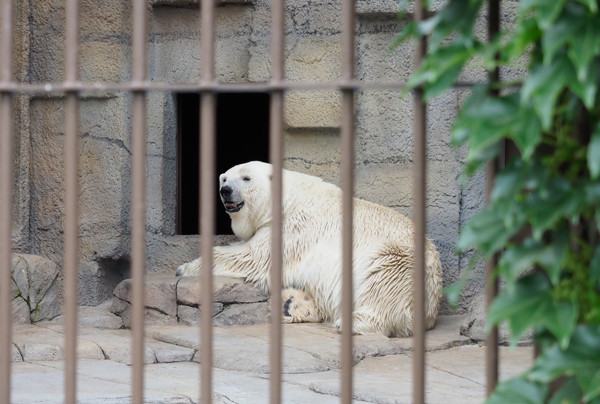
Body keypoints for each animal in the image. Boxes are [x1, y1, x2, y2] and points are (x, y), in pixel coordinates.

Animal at [176, 161, 442, 338]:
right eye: (224, 178)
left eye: (246, 178)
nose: (225, 191)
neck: (286, 200)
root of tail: (432, 308)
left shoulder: (294, 228)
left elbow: (255, 256)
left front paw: (184, 267)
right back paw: (291, 303)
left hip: (400, 260)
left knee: (384, 278)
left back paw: (351, 321)